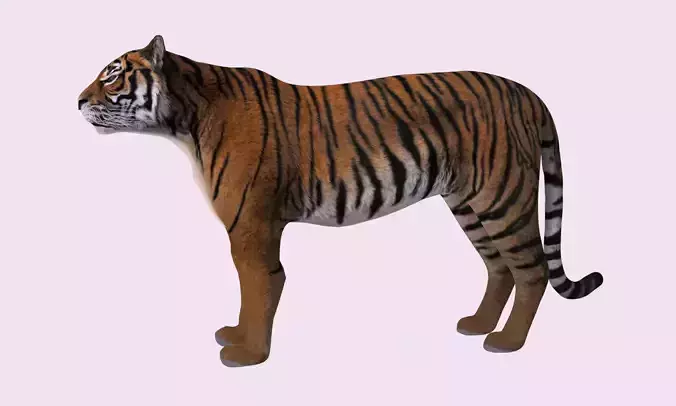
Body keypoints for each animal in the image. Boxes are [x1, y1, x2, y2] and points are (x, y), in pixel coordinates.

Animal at [78, 35, 604, 367]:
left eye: (113, 76)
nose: (77, 100)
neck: (185, 119)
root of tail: (527, 92)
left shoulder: (250, 226)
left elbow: (259, 287)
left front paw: (247, 355)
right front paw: (238, 341)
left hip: (502, 198)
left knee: (531, 270)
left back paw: (507, 343)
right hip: (469, 203)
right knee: (499, 268)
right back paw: (477, 325)